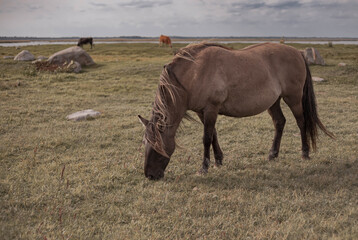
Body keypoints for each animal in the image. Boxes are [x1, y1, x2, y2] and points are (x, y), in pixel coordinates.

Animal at [138, 42, 334, 180]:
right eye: (145, 142)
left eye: (157, 145)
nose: (150, 175)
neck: (195, 72)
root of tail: (298, 53)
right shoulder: (203, 112)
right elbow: (213, 135)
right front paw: (218, 160)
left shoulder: (211, 108)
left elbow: (206, 138)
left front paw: (204, 167)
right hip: (274, 102)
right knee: (280, 122)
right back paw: (272, 154)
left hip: (293, 99)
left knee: (301, 123)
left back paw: (305, 153)